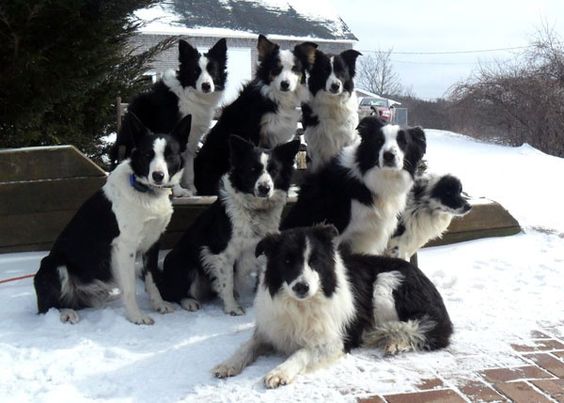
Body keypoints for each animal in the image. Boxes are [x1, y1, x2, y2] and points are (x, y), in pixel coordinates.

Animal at [213, 226, 454, 390]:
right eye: (287, 261)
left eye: (314, 261)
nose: (301, 287)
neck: (301, 304)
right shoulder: (269, 331)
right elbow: (246, 347)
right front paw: (227, 364)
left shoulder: (335, 341)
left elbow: (301, 352)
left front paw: (280, 372)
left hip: (385, 285)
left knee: (422, 327)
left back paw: (395, 341)